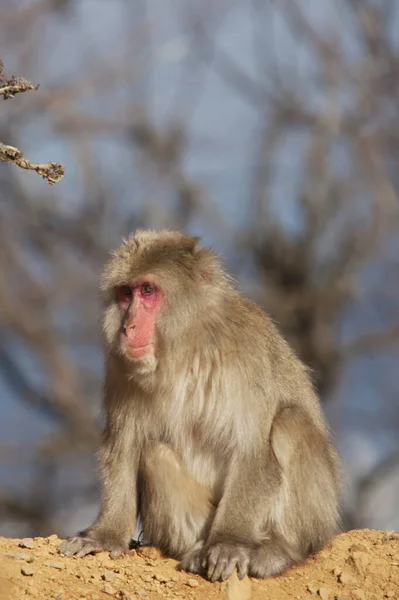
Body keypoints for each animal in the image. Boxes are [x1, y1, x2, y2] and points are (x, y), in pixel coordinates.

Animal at [58, 229, 340, 580]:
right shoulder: (120, 367)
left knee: (289, 422)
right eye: (125, 294)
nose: (127, 327)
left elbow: (252, 451)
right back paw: (194, 551)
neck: (185, 347)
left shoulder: (244, 353)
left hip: (319, 517)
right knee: (155, 454)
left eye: (148, 290)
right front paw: (105, 534)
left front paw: (228, 542)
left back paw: (279, 550)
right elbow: (124, 447)